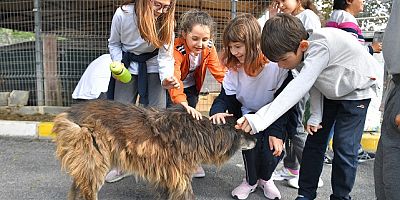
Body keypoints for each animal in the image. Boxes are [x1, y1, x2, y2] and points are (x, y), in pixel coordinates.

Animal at [53, 99, 255, 199]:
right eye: (245, 131)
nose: (256, 140)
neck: (202, 132)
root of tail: (70, 112)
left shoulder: (168, 174)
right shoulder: (180, 175)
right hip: (95, 163)